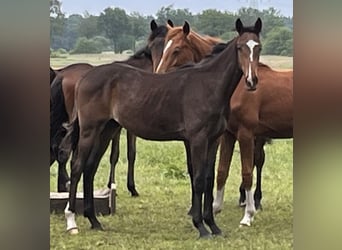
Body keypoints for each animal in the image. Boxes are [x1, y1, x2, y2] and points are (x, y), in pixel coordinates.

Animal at [49, 20, 168, 193]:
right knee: (64, 150)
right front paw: (128, 187)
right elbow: (125, 153)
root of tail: (63, 74)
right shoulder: (125, 128)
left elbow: (118, 154)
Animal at [155, 20, 292, 226]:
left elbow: (246, 172)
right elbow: (221, 171)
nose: (159, 75)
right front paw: (214, 208)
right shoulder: (227, 134)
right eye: (165, 47)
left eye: (177, 50)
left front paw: (248, 216)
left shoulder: (245, 133)